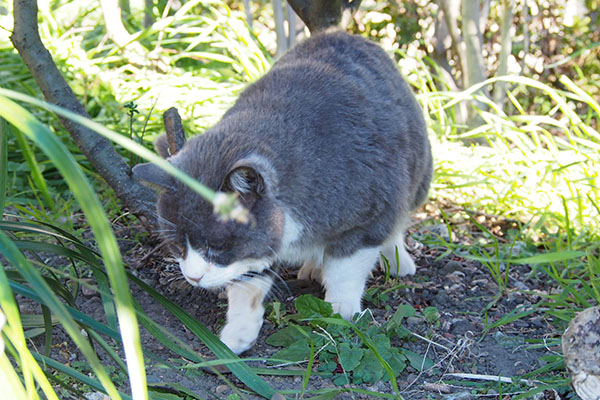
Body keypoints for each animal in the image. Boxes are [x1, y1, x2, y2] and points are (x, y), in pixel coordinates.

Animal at [132, 28, 432, 354]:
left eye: (218, 248)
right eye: (178, 247)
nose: (193, 277)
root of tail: (342, 33)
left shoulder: (366, 218)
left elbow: (345, 270)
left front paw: (340, 312)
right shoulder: (257, 245)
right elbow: (248, 282)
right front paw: (237, 334)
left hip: (416, 176)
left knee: (397, 220)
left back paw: (397, 260)